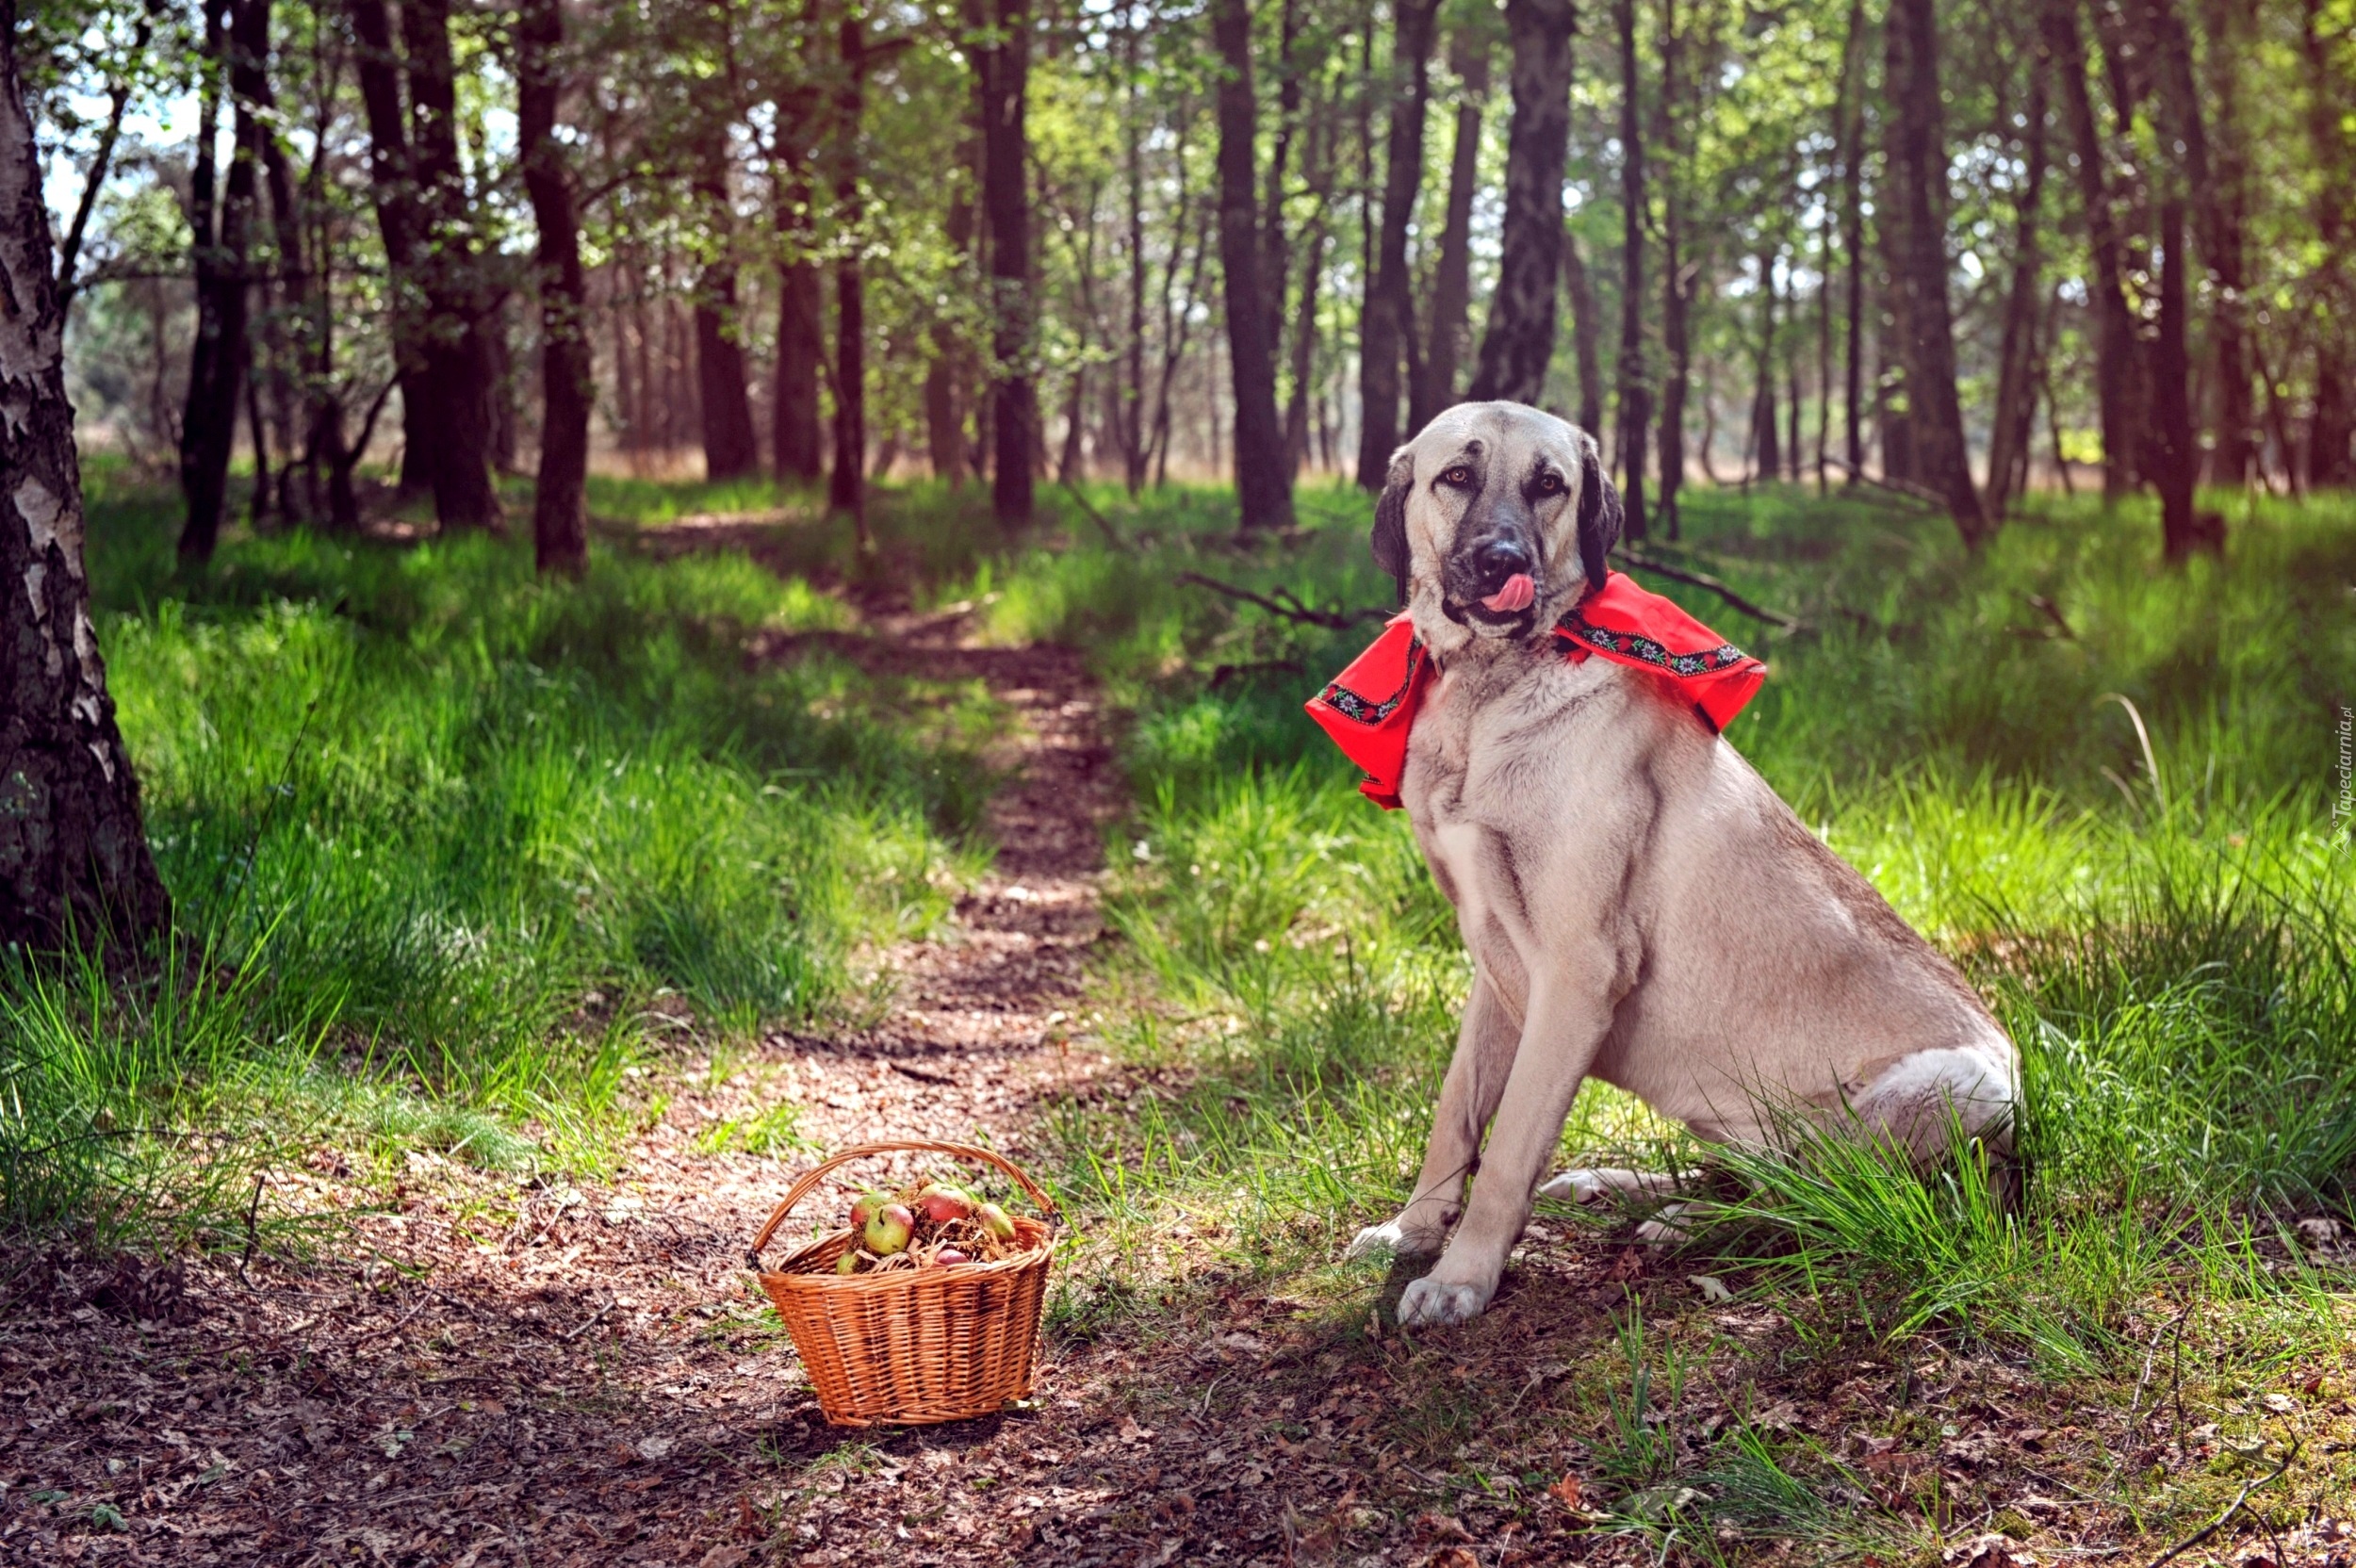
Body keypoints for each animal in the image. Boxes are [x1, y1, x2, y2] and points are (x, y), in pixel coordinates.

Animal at [1319, 402, 2017, 1318]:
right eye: (1457, 477)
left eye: (1550, 485)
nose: (1503, 561)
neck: (1487, 690)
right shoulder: (1495, 969)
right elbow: (1456, 1117)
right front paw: (1413, 1231)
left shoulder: (1578, 970)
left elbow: (1506, 1152)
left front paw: (1462, 1277)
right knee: (1755, 1173)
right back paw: (1625, 1189)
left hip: (1960, 1085)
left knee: (1812, 1197)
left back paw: (1684, 1222)